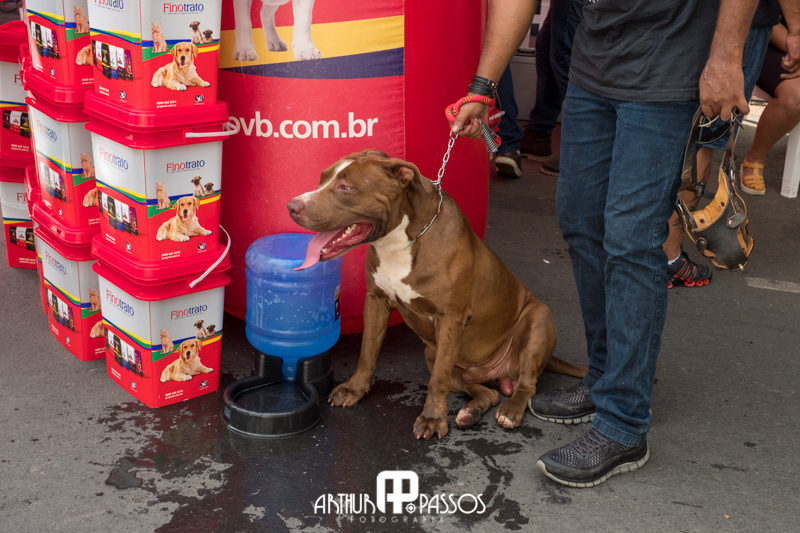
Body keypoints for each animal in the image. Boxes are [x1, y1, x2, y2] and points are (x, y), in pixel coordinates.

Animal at [287, 150, 587, 440]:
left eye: (346, 187)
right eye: (322, 178)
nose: (292, 206)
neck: (402, 241)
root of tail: (495, 373)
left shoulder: (450, 318)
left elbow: (438, 380)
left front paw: (432, 419)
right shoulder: (376, 301)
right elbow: (367, 353)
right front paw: (354, 389)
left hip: (538, 319)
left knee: (527, 385)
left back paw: (511, 411)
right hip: (432, 354)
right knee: (486, 392)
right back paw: (471, 411)